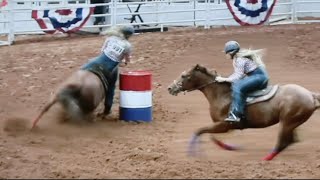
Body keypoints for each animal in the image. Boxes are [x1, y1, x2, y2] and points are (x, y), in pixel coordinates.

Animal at [168, 64, 320, 161]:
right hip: (291, 123)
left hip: (287, 122)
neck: (223, 95)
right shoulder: (222, 126)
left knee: (283, 142)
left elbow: (199, 131)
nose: (170, 88)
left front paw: (193, 153)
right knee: (291, 140)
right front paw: (231, 147)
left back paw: (266, 159)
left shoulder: (225, 125)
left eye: (184, 75)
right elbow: (211, 137)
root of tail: (310, 95)